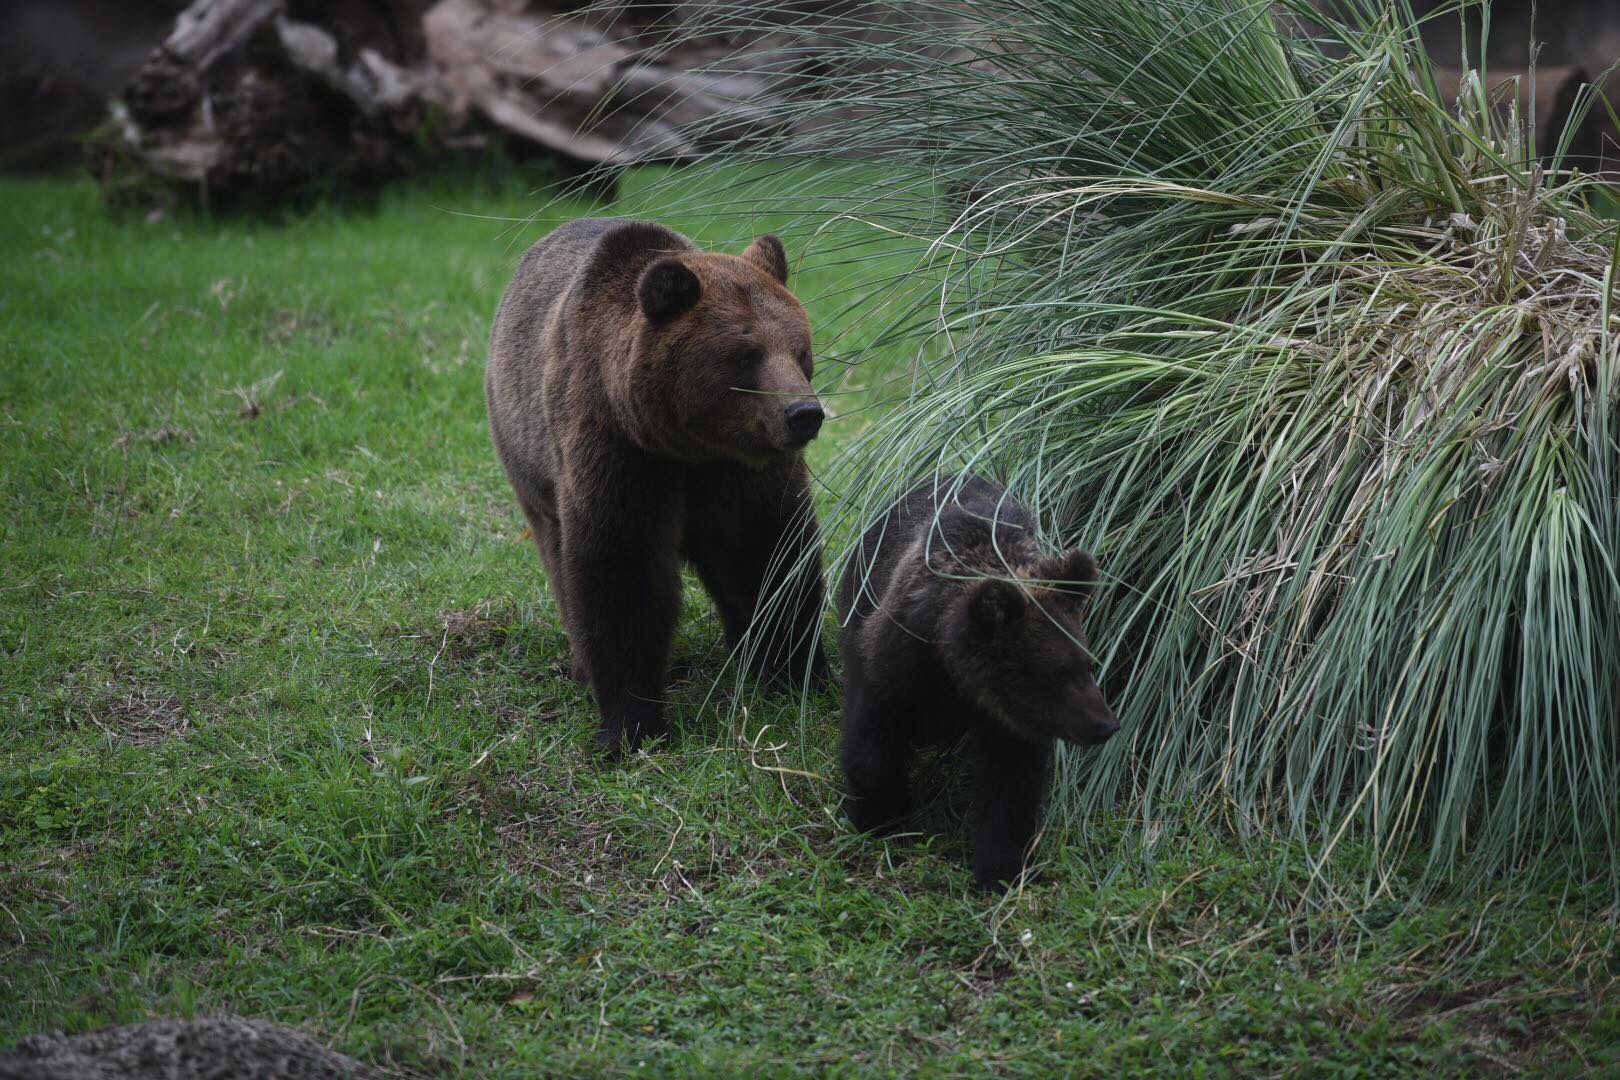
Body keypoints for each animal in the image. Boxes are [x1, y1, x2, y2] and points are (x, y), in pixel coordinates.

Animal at [486, 218, 829, 757]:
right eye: (746, 355)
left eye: (801, 351)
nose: (804, 413)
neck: (691, 446)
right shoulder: (620, 452)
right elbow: (622, 573)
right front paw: (633, 726)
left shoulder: (741, 474)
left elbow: (768, 557)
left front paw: (797, 675)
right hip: (527, 460)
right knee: (557, 554)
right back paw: (582, 667)